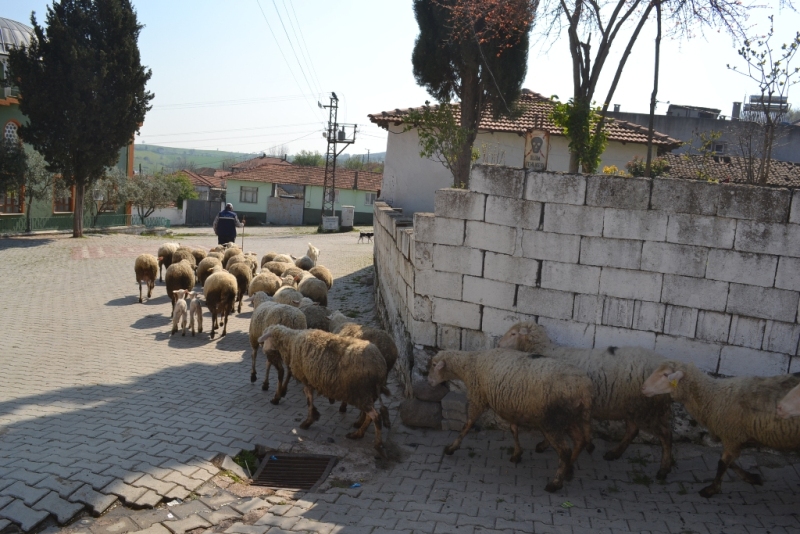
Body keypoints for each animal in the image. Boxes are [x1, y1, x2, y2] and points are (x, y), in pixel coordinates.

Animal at [257, 325, 388, 455]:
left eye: (266, 338)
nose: (262, 349)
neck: (291, 342)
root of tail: (379, 365)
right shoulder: (309, 379)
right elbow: (309, 398)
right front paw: (313, 416)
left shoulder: (306, 378)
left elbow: (309, 399)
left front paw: (308, 421)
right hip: (368, 394)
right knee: (370, 416)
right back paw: (359, 432)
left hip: (361, 393)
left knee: (376, 417)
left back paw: (375, 443)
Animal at [429, 348, 593, 492]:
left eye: (433, 365)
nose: (429, 381)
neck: (471, 364)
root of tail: (585, 389)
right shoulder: (511, 406)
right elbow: (514, 429)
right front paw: (517, 454)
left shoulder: (478, 398)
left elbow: (467, 425)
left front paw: (451, 448)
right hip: (569, 418)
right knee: (579, 441)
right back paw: (568, 471)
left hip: (553, 420)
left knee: (565, 451)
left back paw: (555, 483)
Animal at [498, 321, 674, 480]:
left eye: (513, 333)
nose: (499, 345)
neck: (546, 351)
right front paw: (544, 445)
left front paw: (544, 446)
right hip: (633, 406)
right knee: (633, 430)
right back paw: (614, 453)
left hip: (647, 408)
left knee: (665, 434)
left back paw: (664, 469)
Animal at [642, 361, 800, 497]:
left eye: (665, 374)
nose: (643, 387)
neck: (715, 397)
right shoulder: (735, 438)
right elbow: (730, 462)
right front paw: (751, 477)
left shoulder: (732, 435)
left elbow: (722, 464)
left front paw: (711, 489)